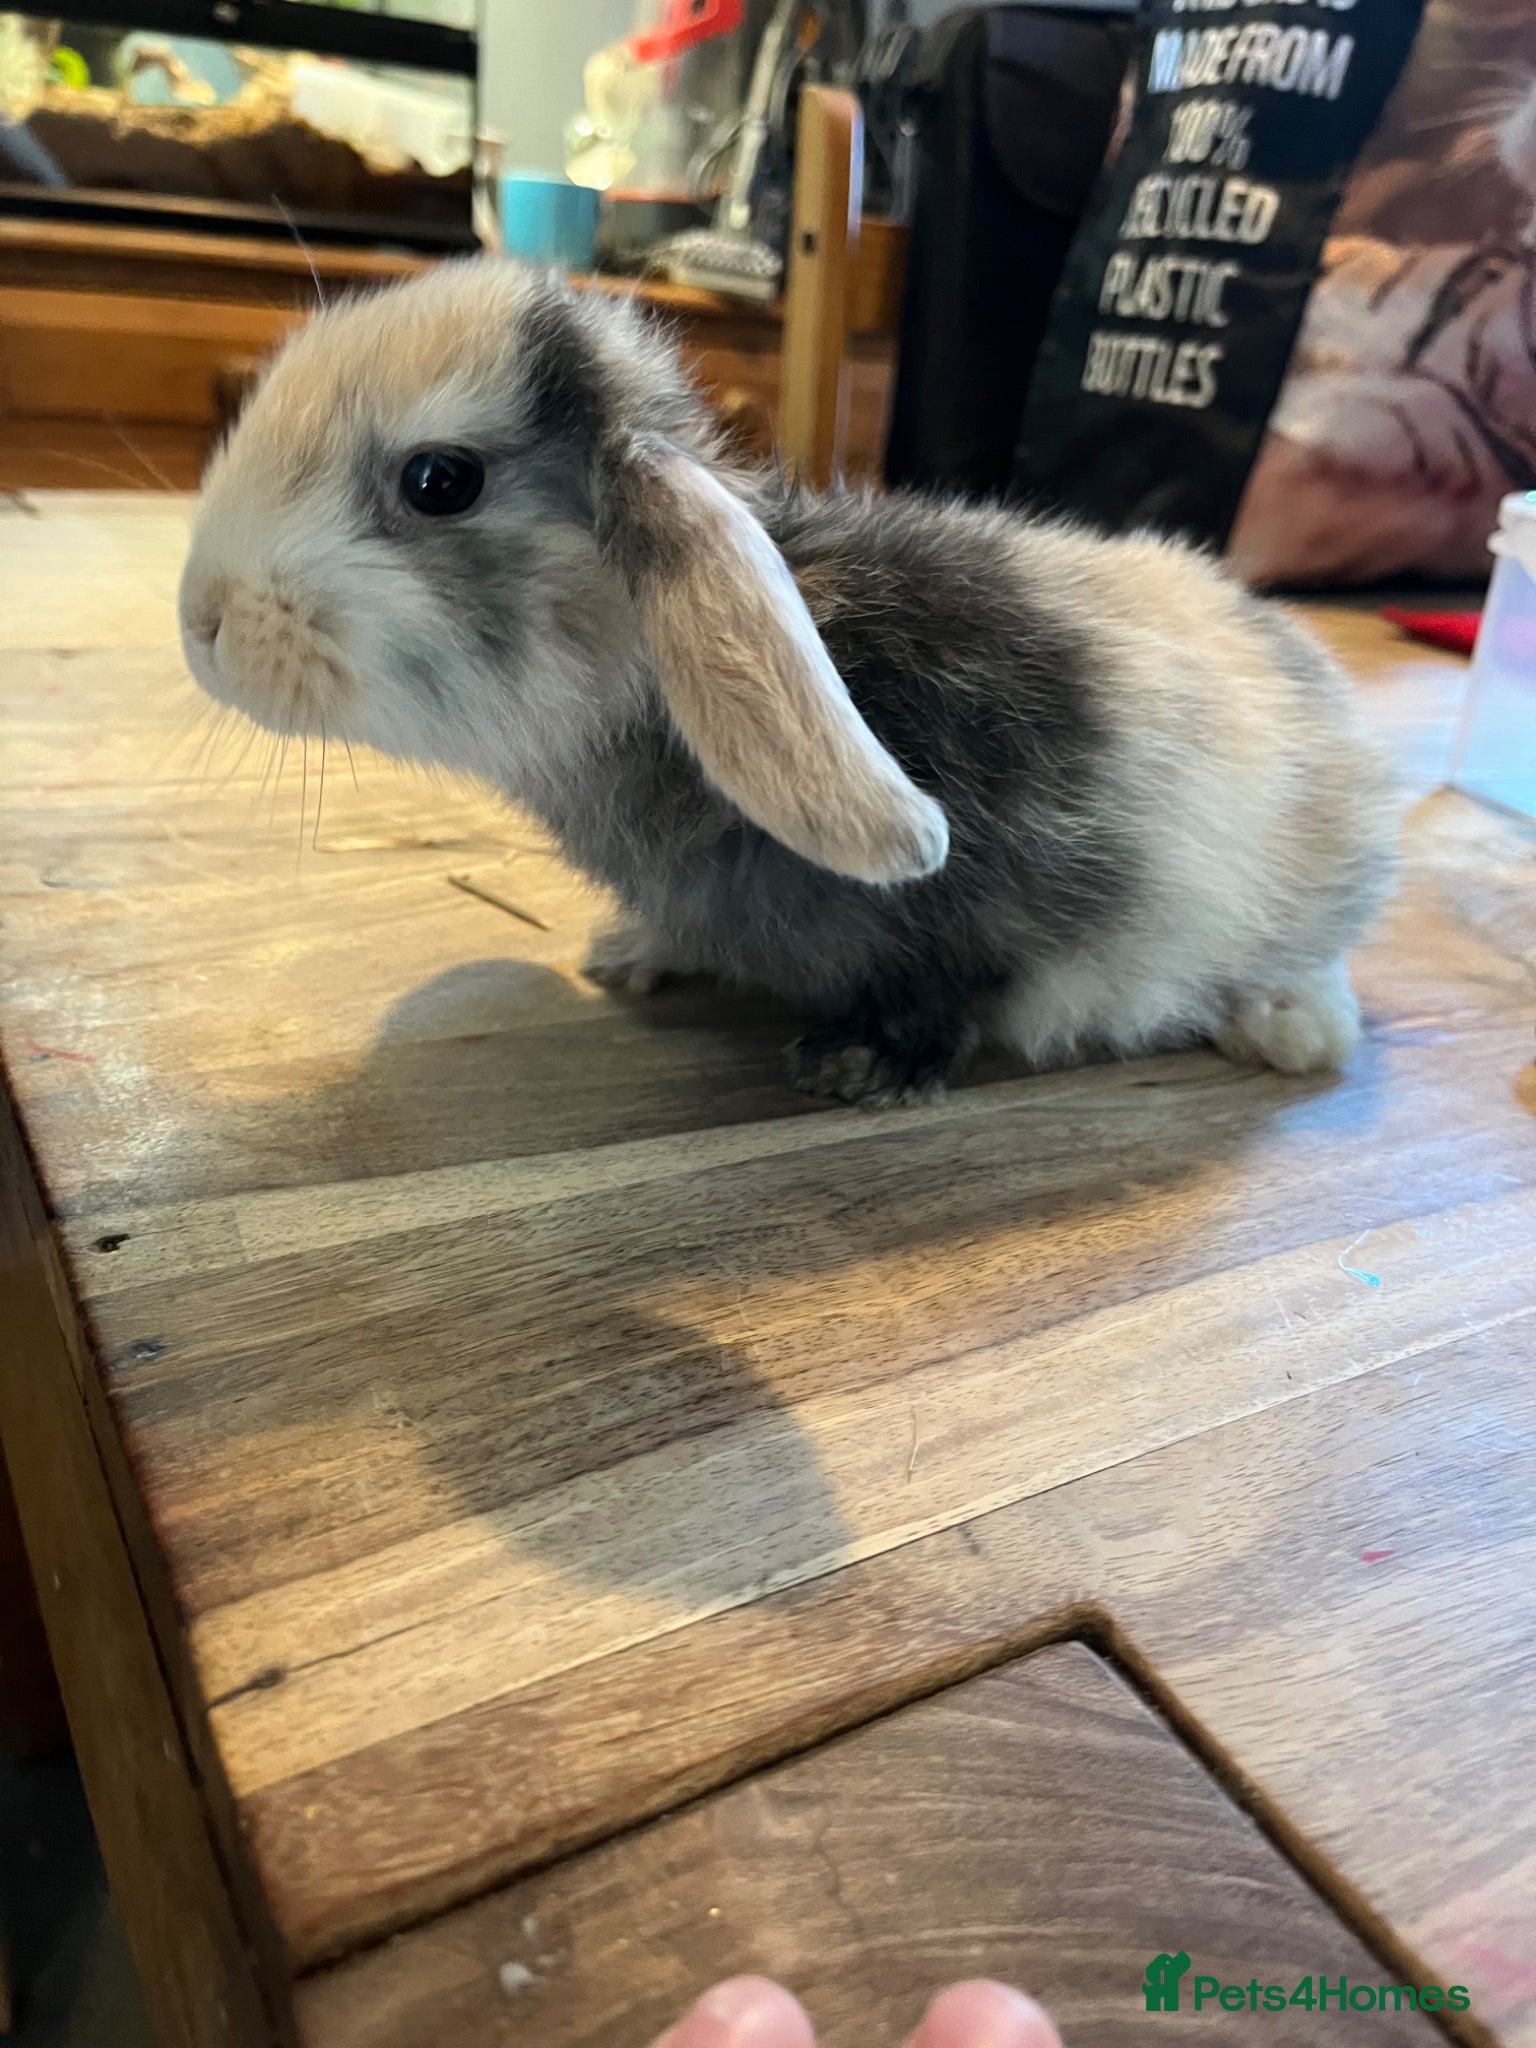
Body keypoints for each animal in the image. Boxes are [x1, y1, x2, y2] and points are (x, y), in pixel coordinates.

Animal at [179, 258, 1396, 1108]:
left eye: (439, 481)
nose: (199, 620)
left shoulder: (982, 923)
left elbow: (951, 986)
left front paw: (858, 1067)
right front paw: (627, 955)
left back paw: (1289, 1026)